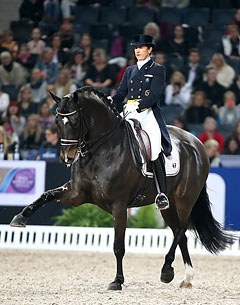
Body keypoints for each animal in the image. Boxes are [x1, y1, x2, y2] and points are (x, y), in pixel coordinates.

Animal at [10, 86, 232, 290]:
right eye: (57, 121)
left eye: (74, 122)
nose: (67, 157)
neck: (101, 147)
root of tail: (196, 143)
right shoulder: (76, 195)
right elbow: (46, 195)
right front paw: (20, 218)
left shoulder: (119, 205)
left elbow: (119, 246)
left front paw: (117, 281)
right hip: (168, 206)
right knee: (180, 232)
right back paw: (185, 278)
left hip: (185, 199)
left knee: (183, 228)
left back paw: (166, 271)